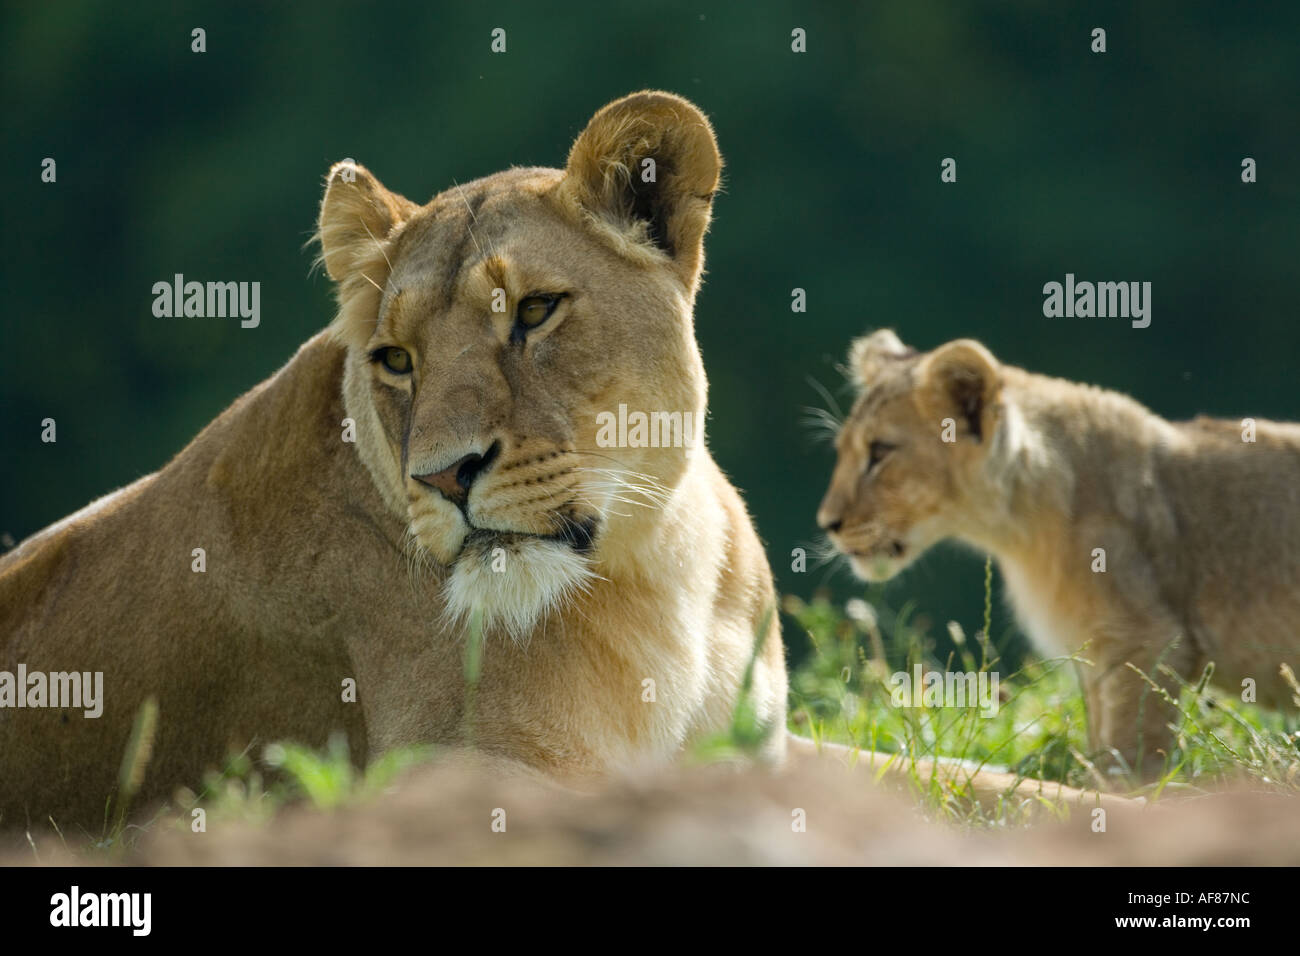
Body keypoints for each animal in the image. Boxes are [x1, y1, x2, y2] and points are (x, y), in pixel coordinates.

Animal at [818, 329, 1300, 776]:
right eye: (841, 451)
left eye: (880, 452)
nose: (827, 523)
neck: (1017, 527)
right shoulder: (1094, 652)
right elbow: (1100, 736)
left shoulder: (1147, 639)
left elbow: (1130, 747)